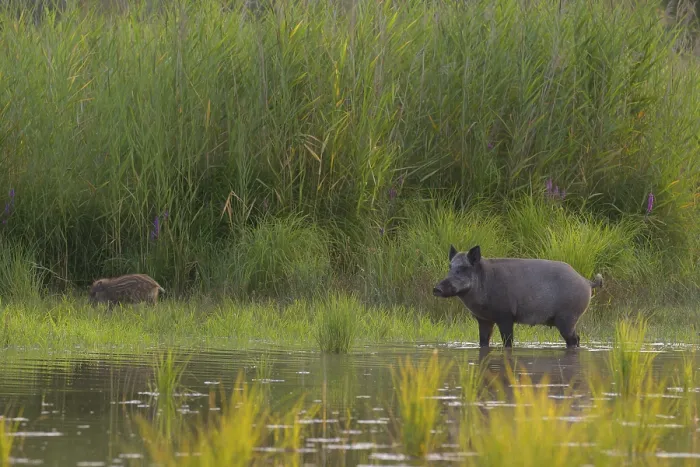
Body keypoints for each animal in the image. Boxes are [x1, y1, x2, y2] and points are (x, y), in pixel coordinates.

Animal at [432, 245, 603, 349]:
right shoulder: (483, 319)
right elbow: (483, 342)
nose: (436, 289)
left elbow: (508, 342)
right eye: (450, 267)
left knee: (574, 339)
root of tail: (587, 282)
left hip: (568, 317)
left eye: (463, 268)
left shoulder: (505, 316)